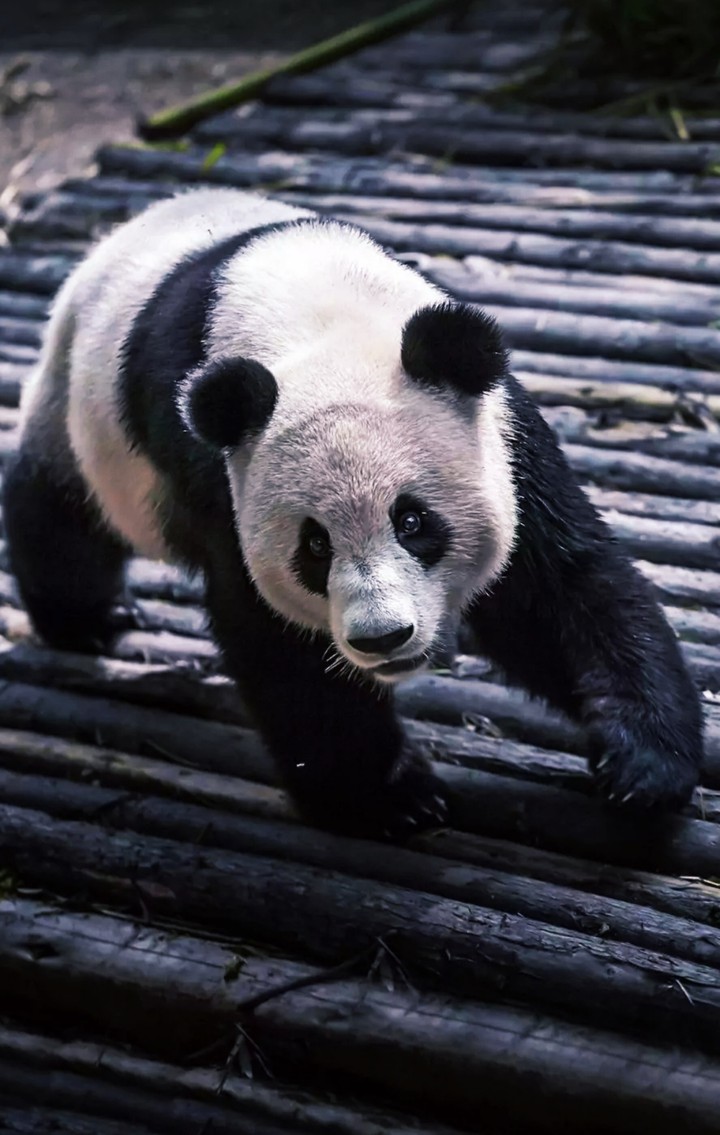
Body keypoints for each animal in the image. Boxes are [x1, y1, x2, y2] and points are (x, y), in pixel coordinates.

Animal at [4, 188, 703, 838]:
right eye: (314, 547)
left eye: (413, 523)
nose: (382, 638)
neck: (320, 322)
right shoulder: (217, 470)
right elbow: (279, 641)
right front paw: (391, 799)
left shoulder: (496, 431)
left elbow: (555, 588)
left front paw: (643, 769)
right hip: (82, 411)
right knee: (59, 511)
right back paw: (90, 619)